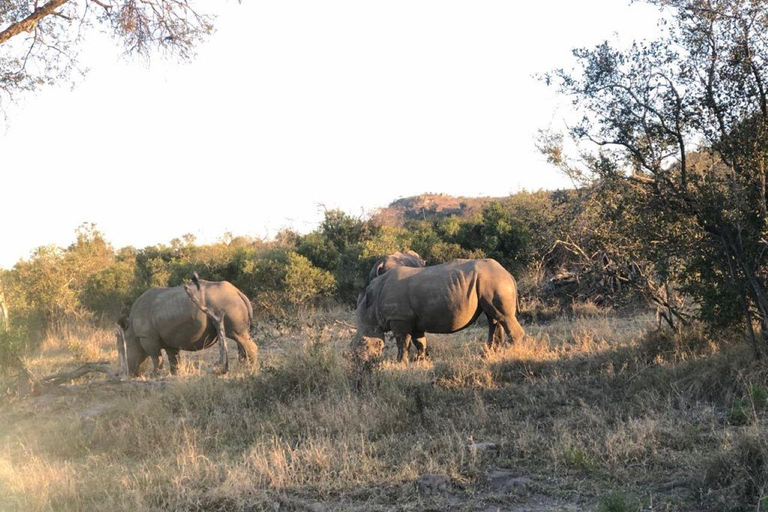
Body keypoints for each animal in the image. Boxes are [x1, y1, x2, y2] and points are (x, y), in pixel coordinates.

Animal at [115, 276, 256, 376]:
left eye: (124, 351)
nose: (124, 374)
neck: (131, 330)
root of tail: (237, 292)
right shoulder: (168, 338)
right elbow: (173, 358)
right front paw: (174, 373)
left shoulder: (147, 337)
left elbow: (155, 356)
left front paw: (155, 375)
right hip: (227, 303)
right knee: (240, 338)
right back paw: (243, 367)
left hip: (226, 302)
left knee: (237, 335)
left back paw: (250, 369)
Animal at [356, 258, 524, 362]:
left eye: (364, 341)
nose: (361, 361)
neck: (372, 302)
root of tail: (508, 273)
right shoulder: (414, 320)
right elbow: (420, 342)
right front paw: (420, 361)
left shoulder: (399, 318)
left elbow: (402, 343)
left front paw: (400, 363)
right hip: (490, 282)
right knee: (493, 318)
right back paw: (489, 354)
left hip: (495, 281)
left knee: (503, 317)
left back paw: (511, 353)